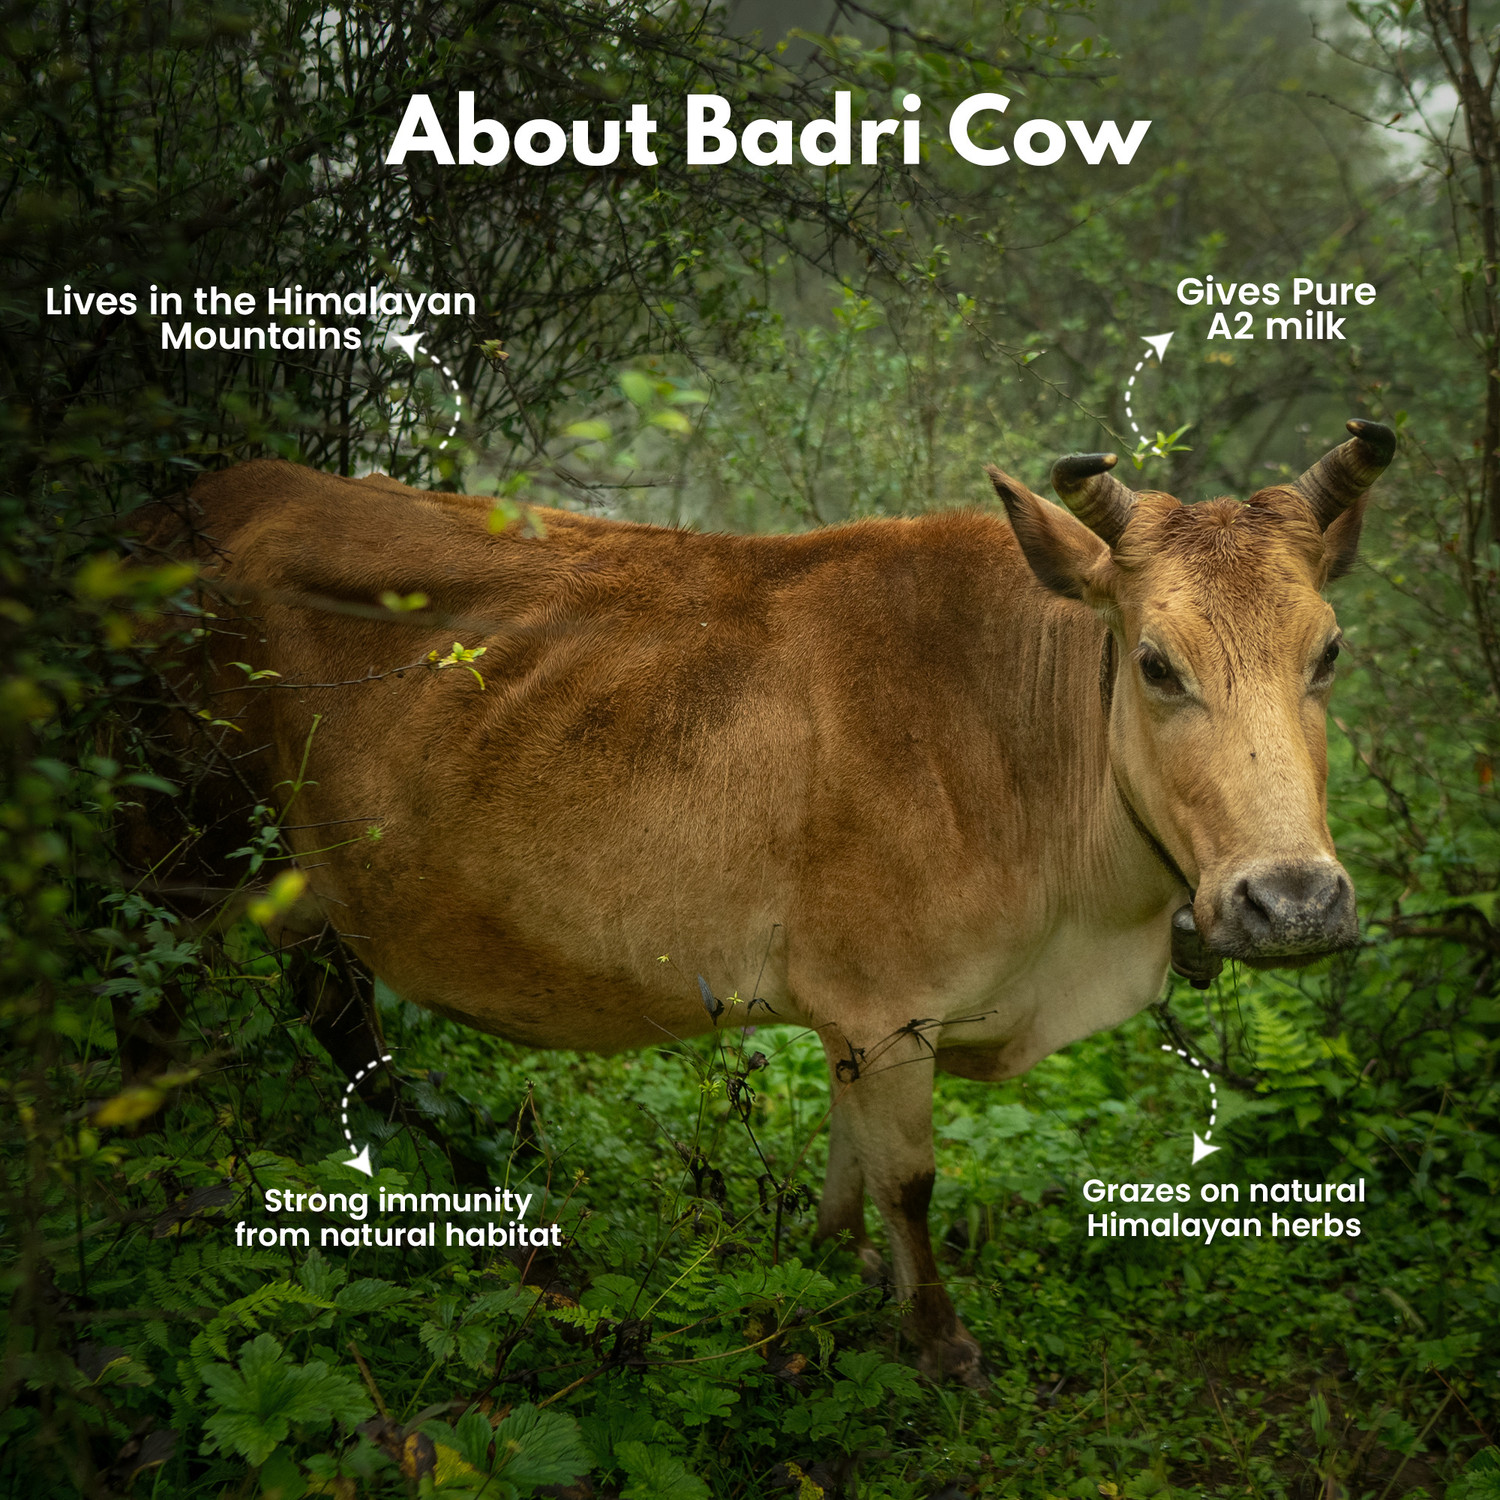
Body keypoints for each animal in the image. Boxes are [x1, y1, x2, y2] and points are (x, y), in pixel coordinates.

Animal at [134, 418, 1393, 1386]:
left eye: (1329, 651)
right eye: (1155, 663)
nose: (1293, 901)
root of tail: (209, 493)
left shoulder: (857, 1020)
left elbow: (849, 1182)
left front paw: (828, 1282)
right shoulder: (888, 1010)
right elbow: (909, 1181)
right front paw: (943, 1350)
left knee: (341, 1016)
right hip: (187, 852)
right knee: (154, 1016)